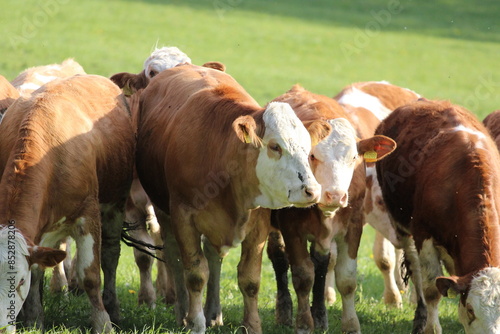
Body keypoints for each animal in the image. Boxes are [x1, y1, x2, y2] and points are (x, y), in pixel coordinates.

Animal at [0, 74, 135, 332]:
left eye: (19, 281)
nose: (1, 326)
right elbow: (37, 269)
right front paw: (34, 320)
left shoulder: (88, 215)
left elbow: (90, 275)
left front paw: (103, 323)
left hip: (115, 204)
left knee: (110, 256)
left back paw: (113, 308)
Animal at [134, 64, 332, 332]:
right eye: (275, 146)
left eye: (308, 148)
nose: (311, 190)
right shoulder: (183, 217)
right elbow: (195, 274)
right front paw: (195, 322)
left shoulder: (258, 224)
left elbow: (249, 279)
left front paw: (253, 325)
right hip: (164, 212)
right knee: (175, 257)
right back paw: (183, 312)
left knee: (213, 256)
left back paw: (213, 312)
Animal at [260, 84, 396, 334]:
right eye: (312, 155)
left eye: (354, 157)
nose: (335, 195)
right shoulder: (292, 230)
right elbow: (303, 276)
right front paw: (304, 324)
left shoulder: (353, 227)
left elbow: (346, 278)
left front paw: (350, 324)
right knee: (279, 257)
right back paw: (284, 312)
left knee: (322, 263)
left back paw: (320, 315)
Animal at [376, 99, 500, 334]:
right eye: (471, 310)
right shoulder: (424, 234)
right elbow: (431, 289)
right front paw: (431, 328)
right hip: (403, 228)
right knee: (416, 270)